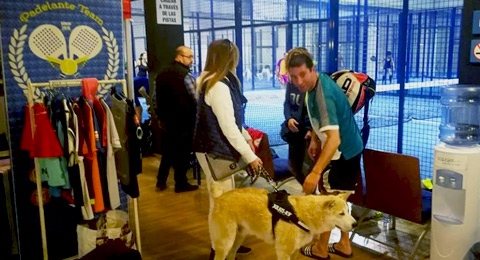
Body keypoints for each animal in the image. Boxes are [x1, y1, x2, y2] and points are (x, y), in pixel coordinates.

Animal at [210, 187, 356, 260]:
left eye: (348, 211)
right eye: (341, 214)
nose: (355, 224)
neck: (302, 215)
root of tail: (219, 197)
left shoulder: (295, 251)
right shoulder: (283, 252)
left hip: (238, 238)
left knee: (231, 255)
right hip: (226, 242)